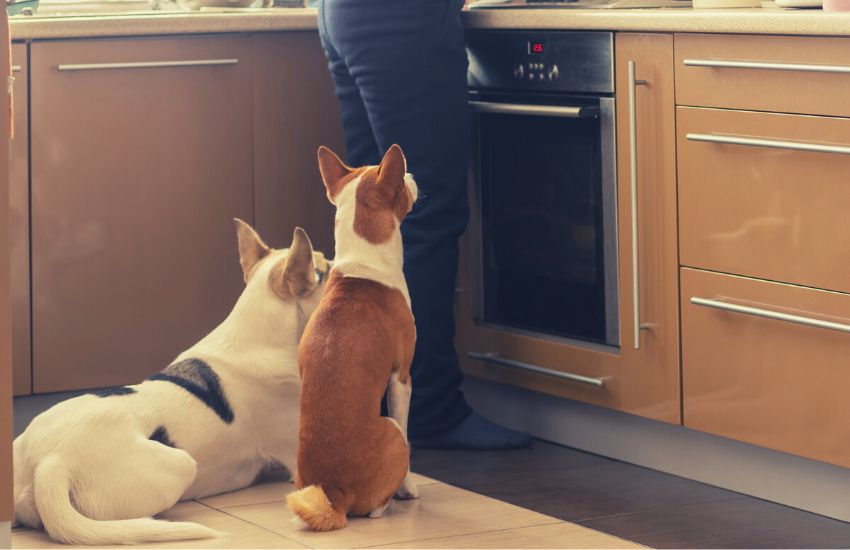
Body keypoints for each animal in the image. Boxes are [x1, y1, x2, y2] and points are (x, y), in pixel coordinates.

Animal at [284, 144, 418, 532]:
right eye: (402, 178)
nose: (412, 174)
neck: (362, 264)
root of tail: (333, 493)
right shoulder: (401, 378)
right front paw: (408, 489)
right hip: (391, 431)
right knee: (376, 502)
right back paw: (387, 504)